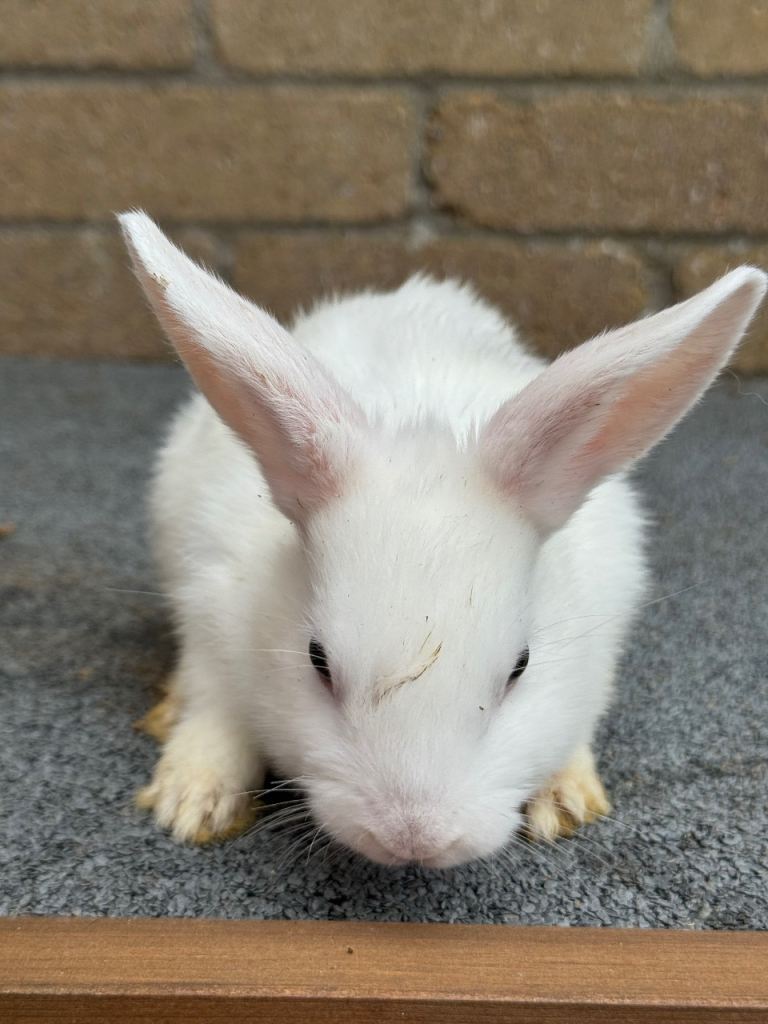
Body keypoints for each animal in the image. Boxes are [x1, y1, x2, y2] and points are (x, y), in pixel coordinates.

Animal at [120, 211, 765, 868]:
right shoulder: (209, 601)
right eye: (317, 660)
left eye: (521, 667)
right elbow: (214, 709)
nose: (412, 837)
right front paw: (191, 800)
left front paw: (566, 798)